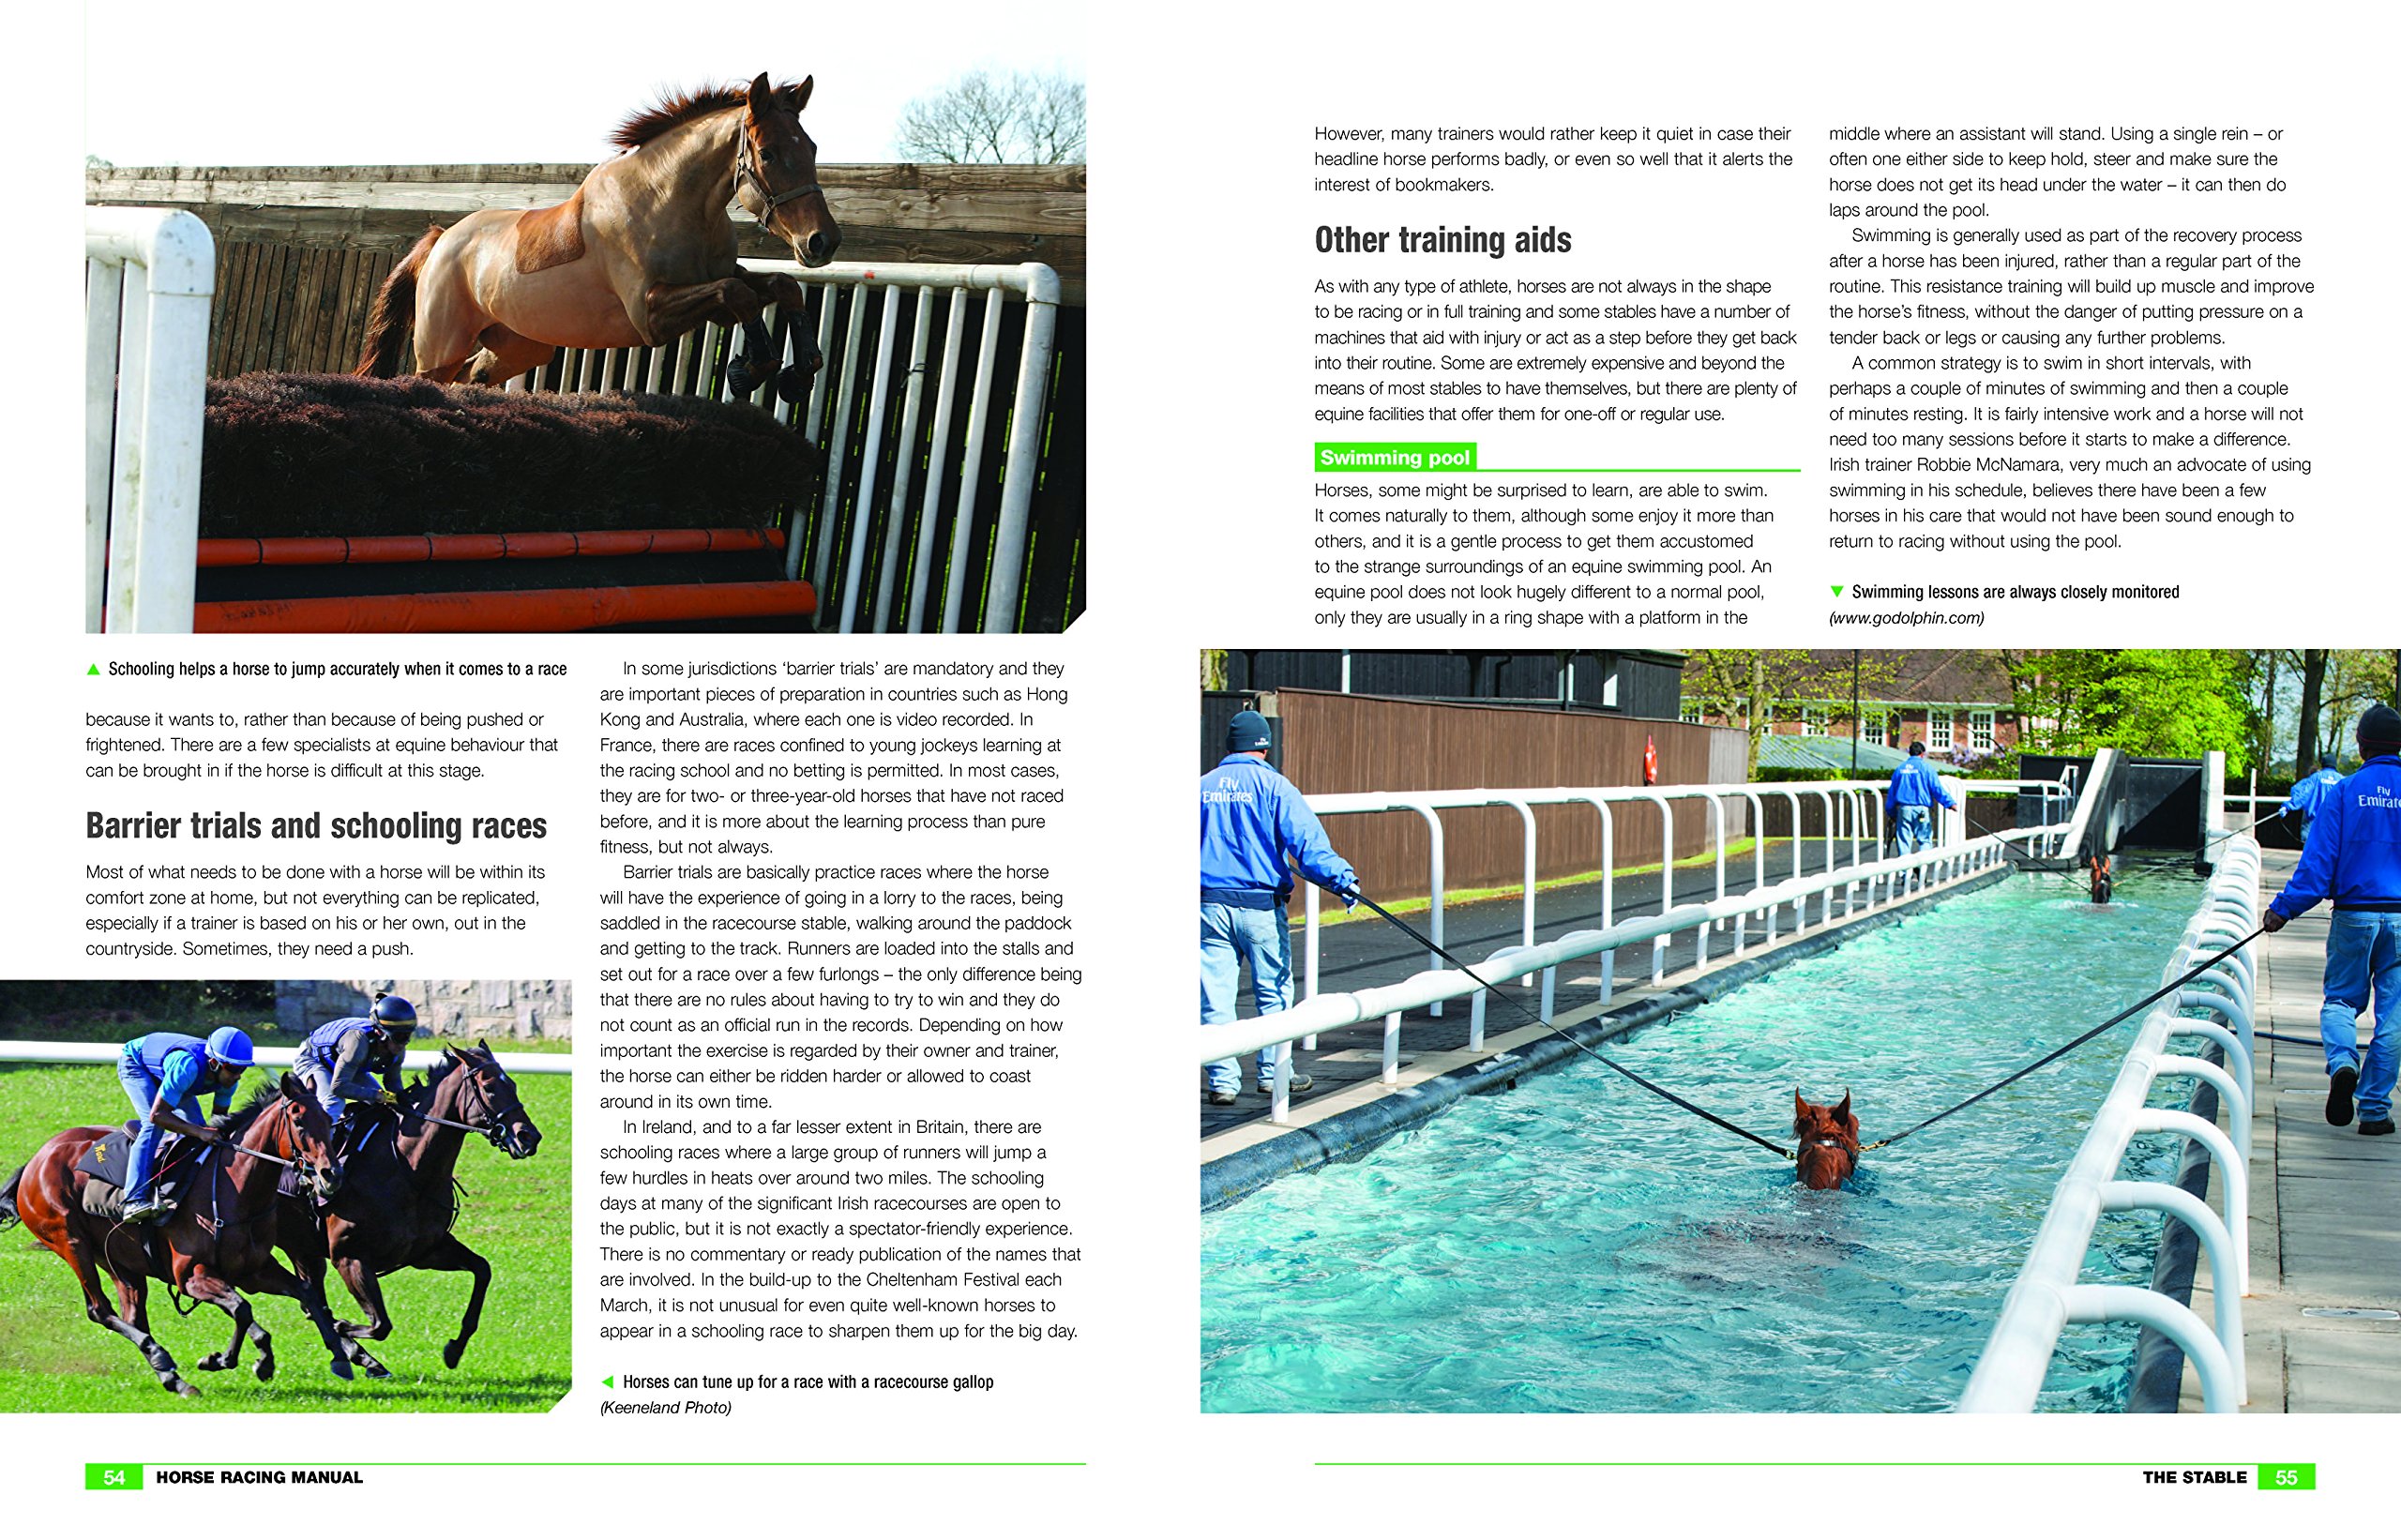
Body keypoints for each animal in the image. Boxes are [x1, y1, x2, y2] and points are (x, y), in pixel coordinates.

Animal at [0, 1075, 354, 1395]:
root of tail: (35, 1160)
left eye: (328, 1119)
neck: (236, 1189)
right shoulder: (191, 1275)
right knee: (100, 1310)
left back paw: (172, 1377)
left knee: (133, 1315)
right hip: (71, 1243)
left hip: (118, 1260)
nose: (332, 1175)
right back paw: (164, 1360)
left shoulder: (252, 1270)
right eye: (299, 1120)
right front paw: (231, 1360)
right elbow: (242, 1309)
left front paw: (339, 1357)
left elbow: (304, 1293)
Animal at [278, 1042, 543, 1374]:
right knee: (313, 1301)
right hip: (299, 1247)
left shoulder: (426, 1250)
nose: (529, 1137)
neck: (408, 1168)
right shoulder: (349, 1257)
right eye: (490, 1087)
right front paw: (343, 1328)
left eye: (514, 1084)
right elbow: (379, 1324)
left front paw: (454, 1349)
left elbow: (483, 1270)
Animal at [356, 73, 839, 402]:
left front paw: (797, 375)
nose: (823, 242)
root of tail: (442, 239)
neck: (671, 202)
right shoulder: (649, 312)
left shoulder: (715, 283)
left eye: (812, 147)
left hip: (520, 346)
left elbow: (780, 285)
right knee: (437, 377)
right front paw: (750, 370)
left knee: (473, 374)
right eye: (768, 153)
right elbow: (738, 294)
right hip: (438, 351)